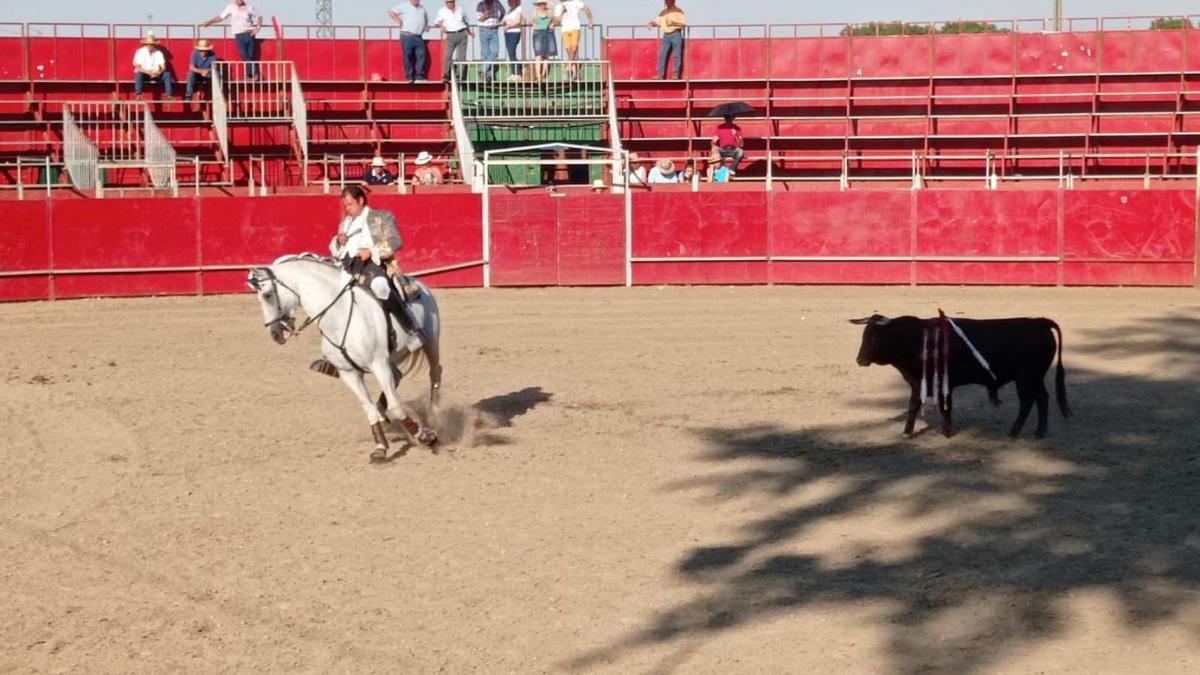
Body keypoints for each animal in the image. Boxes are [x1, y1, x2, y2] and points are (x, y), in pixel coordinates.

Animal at [246, 254, 444, 458]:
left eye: (267, 295)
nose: (275, 334)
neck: (338, 316)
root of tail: (417, 283)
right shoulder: (349, 373)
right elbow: (368, 408)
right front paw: (380, 446)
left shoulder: (379, 364)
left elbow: (396, 406)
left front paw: (425, 435)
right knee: (397, 377)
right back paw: (384, 414)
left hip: (431, 342)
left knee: (434, 373)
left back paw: (434, 415)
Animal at [849, 314, 1075, 439]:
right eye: (864, 335)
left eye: (875, 336)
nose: (859, 360)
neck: (915, 339)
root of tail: (1040, 322)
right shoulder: (917, 382)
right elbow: (913, 406)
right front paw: (906, 433)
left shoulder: (941, 382)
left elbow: (945, 407)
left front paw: (947, 432)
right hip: (1036, 377)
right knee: (1043, 399)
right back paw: (1039, 432)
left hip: (1026, 378)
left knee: (1028, 402)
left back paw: (1014, 432)